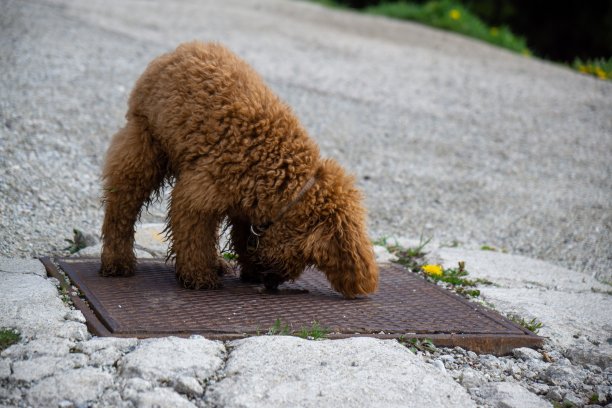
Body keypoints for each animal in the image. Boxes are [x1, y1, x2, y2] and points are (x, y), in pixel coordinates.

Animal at [100, 41, 378, 298]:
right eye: (308, 257)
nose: (272, 284)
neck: (282, 176)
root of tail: (181, 49)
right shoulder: (198, 195)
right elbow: (194, 239)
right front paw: (199, 277)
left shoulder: (246, 205)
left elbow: (242, 239)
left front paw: (248, 270)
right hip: (143, 146)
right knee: (121, 207)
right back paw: (117, 262)